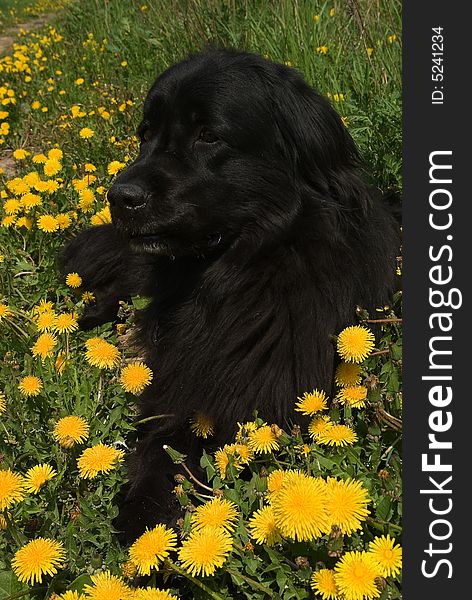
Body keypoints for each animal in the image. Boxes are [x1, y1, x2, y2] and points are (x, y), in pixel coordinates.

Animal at [60, 48, 398, 544]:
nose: (119, 197)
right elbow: (161, 438)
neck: (239, 272)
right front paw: (143, 516)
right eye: (145, 134)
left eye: (208, 135)